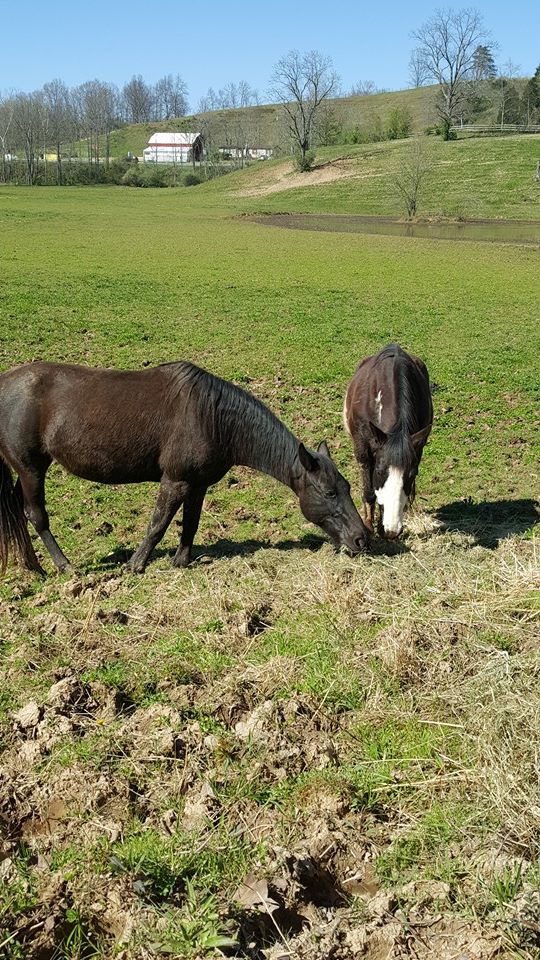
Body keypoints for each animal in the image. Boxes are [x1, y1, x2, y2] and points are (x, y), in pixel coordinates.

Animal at [0, 358, 372, 568]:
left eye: (346, 487)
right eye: (329, 492)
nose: (362, 539)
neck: (212, 417)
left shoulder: (198, 484)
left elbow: (189, 523)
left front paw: (181, 560)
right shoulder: (175, 481)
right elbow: (158, 524)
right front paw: (136, 565)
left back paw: (34, 567)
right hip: (31, 468)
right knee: (36, 515)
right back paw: (63, 565)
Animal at [344, 344, 432, 540]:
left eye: (412, 474)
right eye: (379, 471)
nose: (392, 530)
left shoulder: (417, 448)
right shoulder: (363, 450)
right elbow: (369, 491)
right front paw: (369, 527)